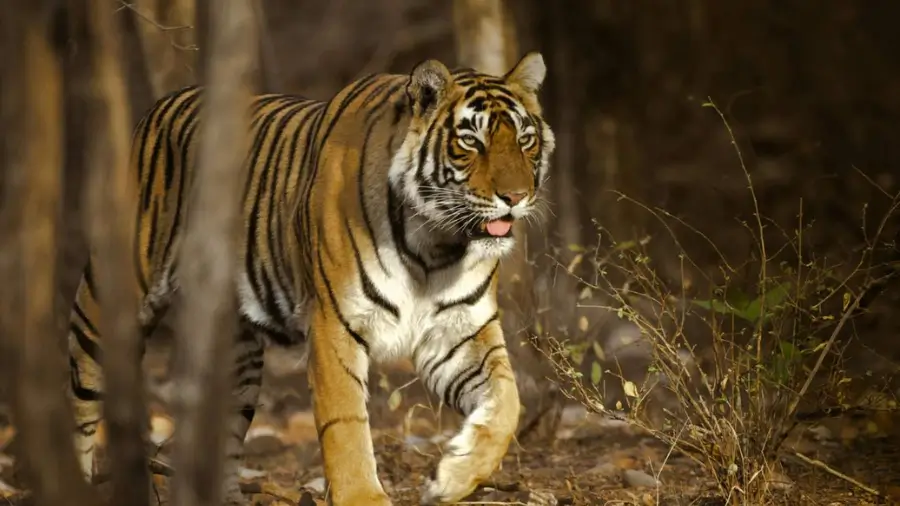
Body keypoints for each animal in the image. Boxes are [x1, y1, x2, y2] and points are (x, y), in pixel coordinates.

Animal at [66, 52, 555, 505]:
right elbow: (346, 424)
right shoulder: (335, 325)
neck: (436, 246)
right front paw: (363, 497)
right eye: (470, 141)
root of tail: (159, 106)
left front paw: (453, 477)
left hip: (238, 357)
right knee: (79, 405)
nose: (515, 197)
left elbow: (508, 402)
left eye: (525, 139)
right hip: (108, 306)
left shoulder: (460, 331)